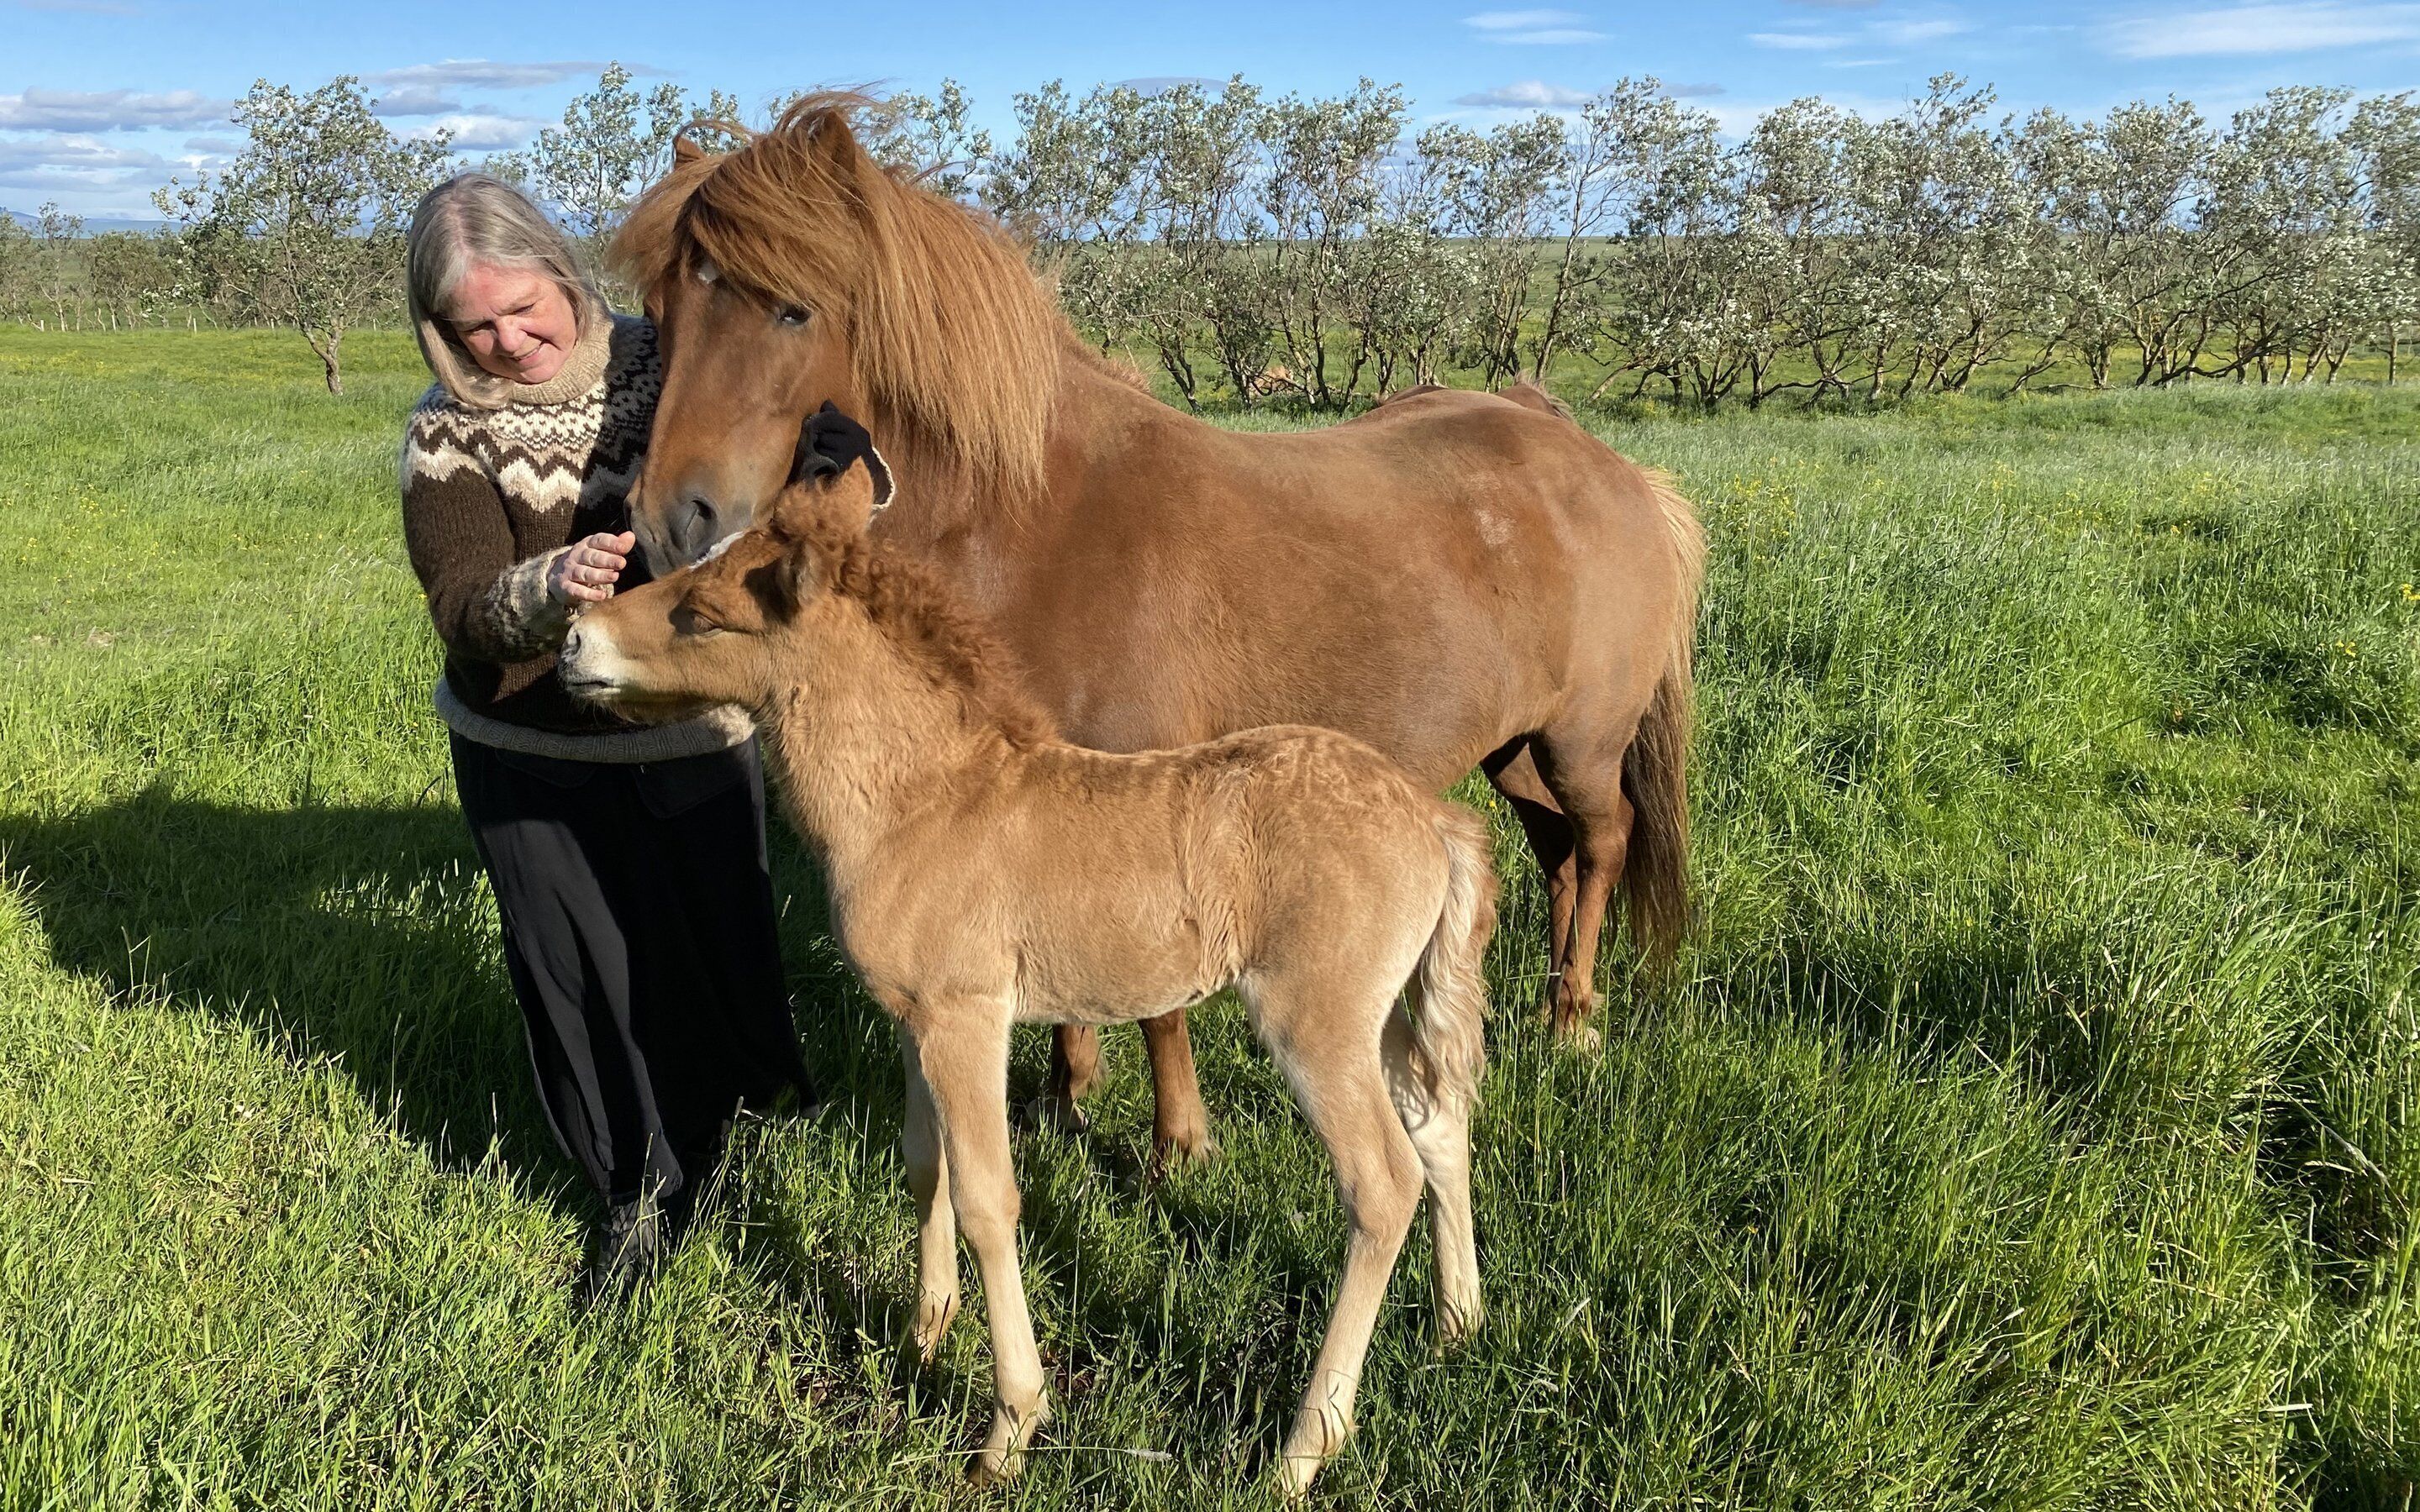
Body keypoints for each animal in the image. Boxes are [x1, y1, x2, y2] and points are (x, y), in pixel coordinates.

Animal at [559, 453, 1500, 1495]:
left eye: (706, 612)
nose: (573, 638)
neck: (921, 800)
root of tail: (1432, 819)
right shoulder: (917, 1019)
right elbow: (924, 1163)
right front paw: (924, 1334)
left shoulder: (968, 1017)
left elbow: (988, 1198)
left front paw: (1008, 1428)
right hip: (1384, 1011)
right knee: (1438, 1123)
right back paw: (1459, 1326)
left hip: (1316, 1021)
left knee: (1383, 1182)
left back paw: (1303, 1450)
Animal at [608, 94, 1704, 1163]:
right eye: (660, 314)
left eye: (790, 308)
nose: (671, 522)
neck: (1039, 523)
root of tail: (1607, 466)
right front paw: (1068, 1098)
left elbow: (1160, 999)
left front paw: (1179, 1144)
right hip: (1513, 749)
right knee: (1559, 855)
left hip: (1580, 743)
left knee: (1603, 844)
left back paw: (1574, 1020)